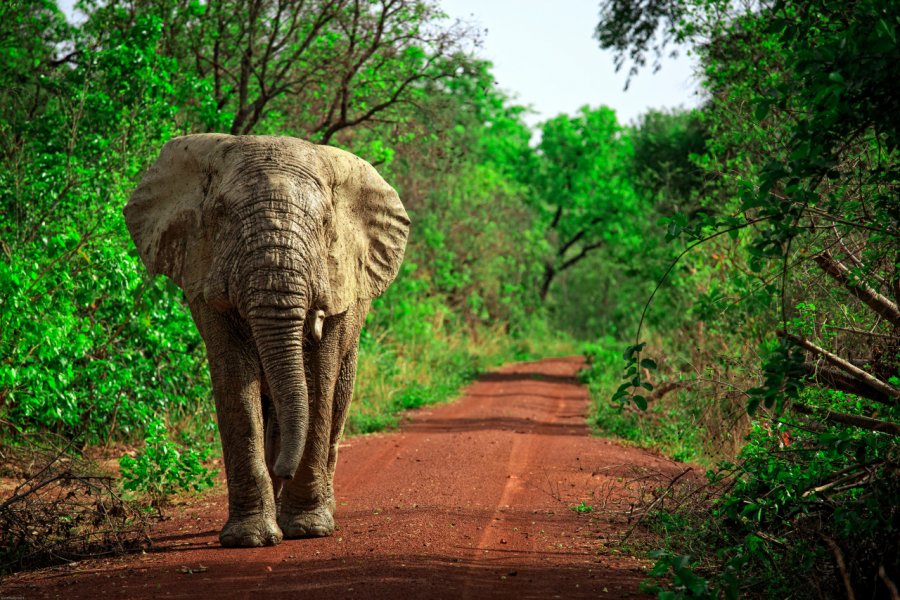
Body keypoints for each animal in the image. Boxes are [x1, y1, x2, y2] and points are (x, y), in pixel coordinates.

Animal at [124, 135, 412, 548]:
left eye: (326, 223)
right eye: (221, 214)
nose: (284, 470)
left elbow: (318, 382)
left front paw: (308, 530)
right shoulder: (202, 271)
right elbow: (235, 384)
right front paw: (250, 538)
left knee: (337, 399)